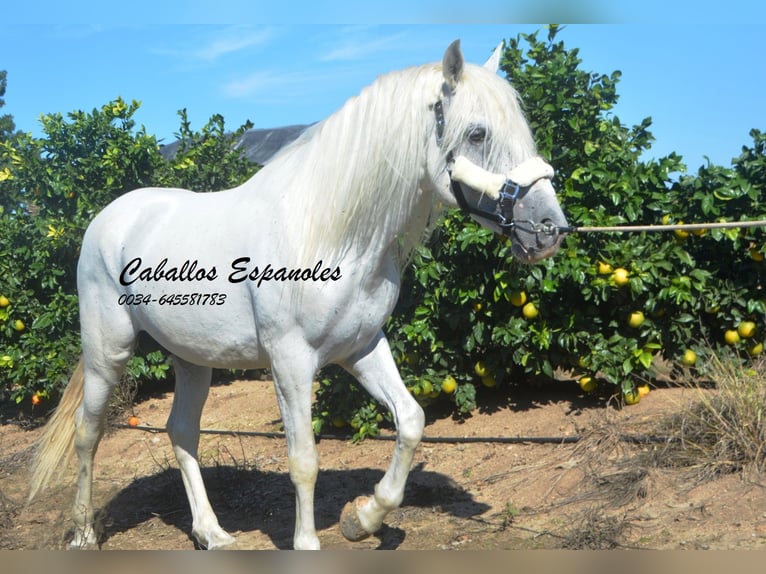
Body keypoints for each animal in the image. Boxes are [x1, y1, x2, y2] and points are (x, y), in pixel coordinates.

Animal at [30, 41, 568, 552]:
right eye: (477, 133)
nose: (549, 229)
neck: (329, 233)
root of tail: (109, 218)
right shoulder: (290, 361)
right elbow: (304, 458)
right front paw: (308, 542)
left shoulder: (361, 348)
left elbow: (411, 421)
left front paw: (364, 519)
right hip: (108, 351)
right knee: (87, 432)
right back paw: (84, 533)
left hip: (192, 359)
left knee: (181, 431)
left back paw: (211, 534)